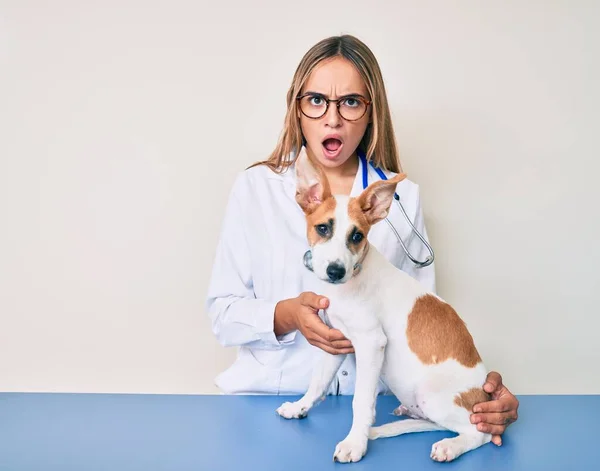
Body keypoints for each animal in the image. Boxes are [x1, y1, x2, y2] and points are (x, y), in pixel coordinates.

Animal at [276, 148, 492, 464]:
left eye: (357, 236)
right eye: (322, 228)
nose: (335, 272)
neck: (354, 278)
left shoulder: (371, 342)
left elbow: (361, 401)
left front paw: (354, 443)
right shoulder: (336, 341)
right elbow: (318, 382)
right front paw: (299, 407)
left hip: (432, 394)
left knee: (478, 432)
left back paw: (449, 446)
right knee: (432, 422)